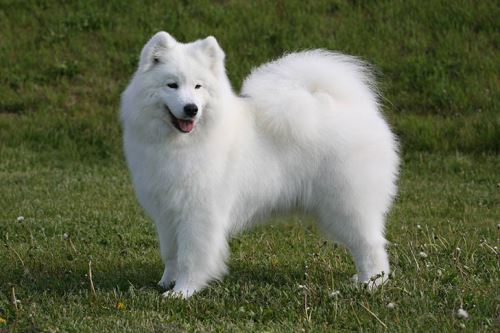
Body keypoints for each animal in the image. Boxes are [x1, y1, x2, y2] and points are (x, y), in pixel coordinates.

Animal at [121, 31, 398, 296]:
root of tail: (358, 110)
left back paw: (371, 284)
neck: (182, 143)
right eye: (172, 85)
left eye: (198, 86)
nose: (191, 109)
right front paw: (166, 282)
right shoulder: (167, 213)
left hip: (347, 204)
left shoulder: (198, 213)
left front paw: (183, 291)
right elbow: (171, 254)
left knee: (371, 245)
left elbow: (191, 257)